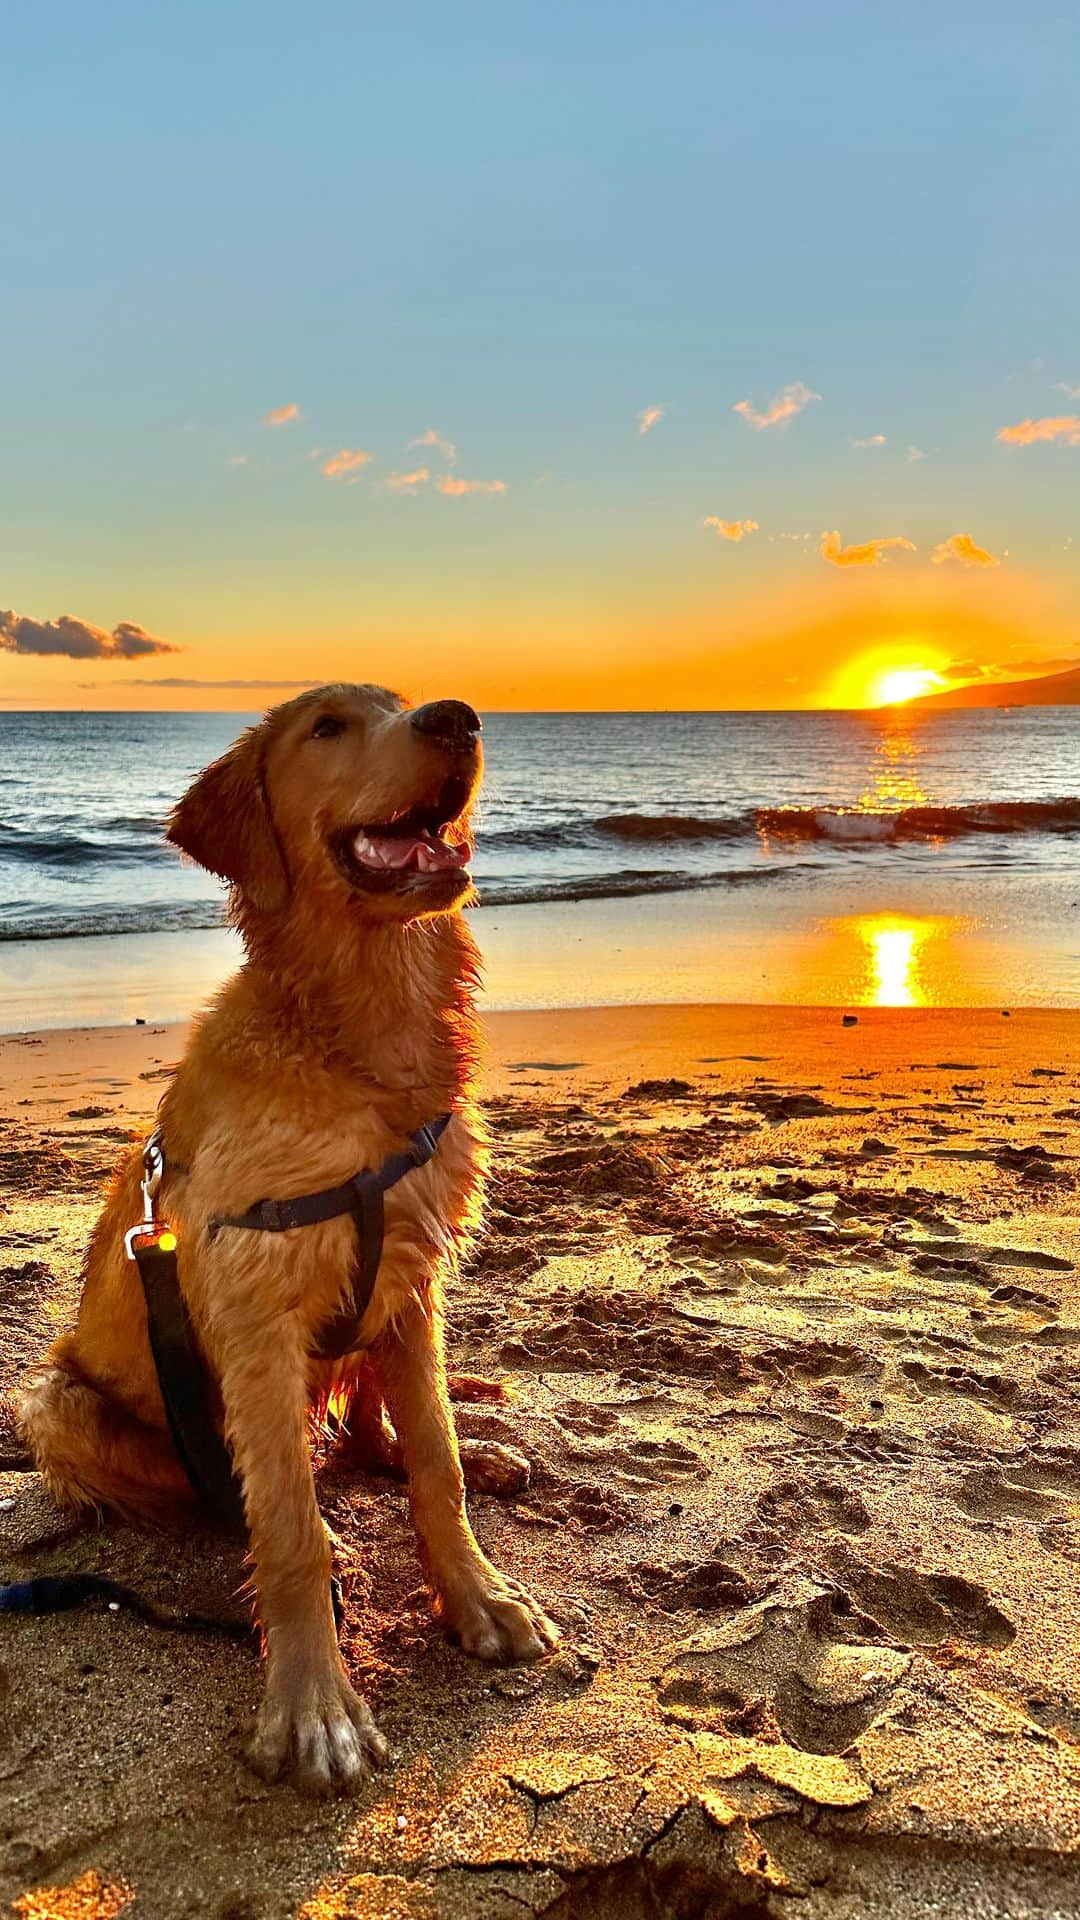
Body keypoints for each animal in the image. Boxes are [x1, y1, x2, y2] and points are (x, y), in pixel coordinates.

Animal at [18, 691, 553, 1797]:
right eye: (328, 728)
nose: (459, 716)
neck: (357, 1048)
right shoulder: (258, 1322)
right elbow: (291, 1530)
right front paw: (315, 1707)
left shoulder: (413, 1283)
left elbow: (433, 1463)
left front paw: (476, 1596)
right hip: (56, 1401)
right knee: (229, 1487)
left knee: (372, 1433)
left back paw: (473, 1453)